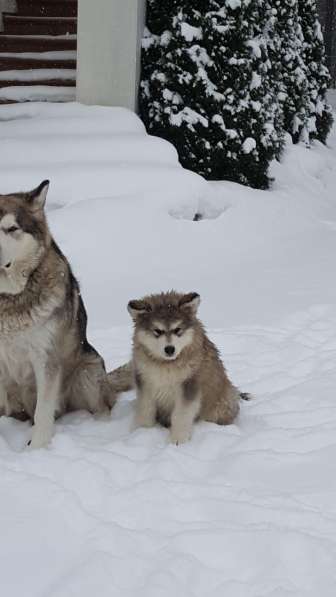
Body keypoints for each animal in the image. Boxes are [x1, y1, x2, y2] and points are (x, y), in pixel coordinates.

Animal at [0, 182, 116, 448]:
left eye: (11, 229)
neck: (8, 299)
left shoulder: (45, 357)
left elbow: (43, 413)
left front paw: (38, 449)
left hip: (87, 371)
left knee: (101, 407)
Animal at [109, 290, 247, 442]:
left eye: (177, 329)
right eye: (157, 331)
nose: (170, 349)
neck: (166, 364)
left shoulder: (189, 385)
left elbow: (181, 415)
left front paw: (178, 439)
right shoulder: (145, 382)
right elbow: (146, 409)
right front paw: (142, 432)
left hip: (222, 403)